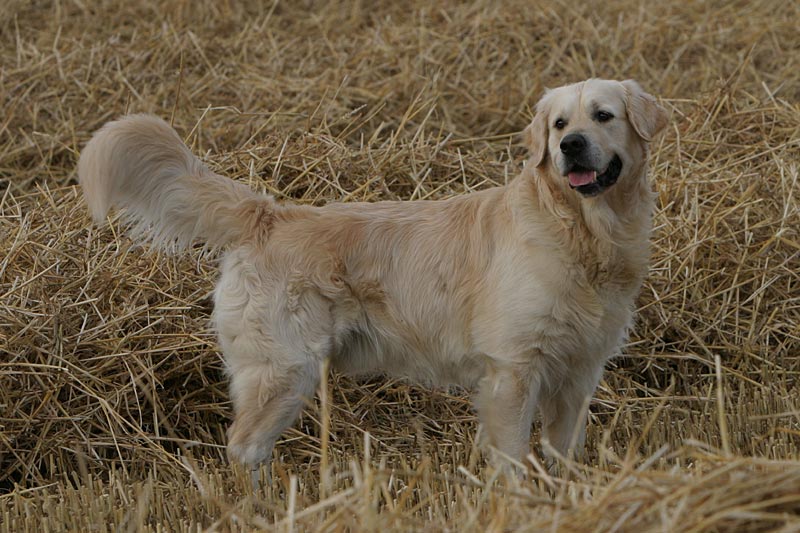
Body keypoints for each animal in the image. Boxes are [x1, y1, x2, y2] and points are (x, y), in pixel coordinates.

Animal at [79, 78, 668, 466]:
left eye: (603, 115)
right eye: (560, 124)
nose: (570, 146)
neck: (580, 232)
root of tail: (269, 214)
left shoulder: (578, 373)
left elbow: (563, 454)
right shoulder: (513, 370)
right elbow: (512, 460)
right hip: (283, 368)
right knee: (243, 447)